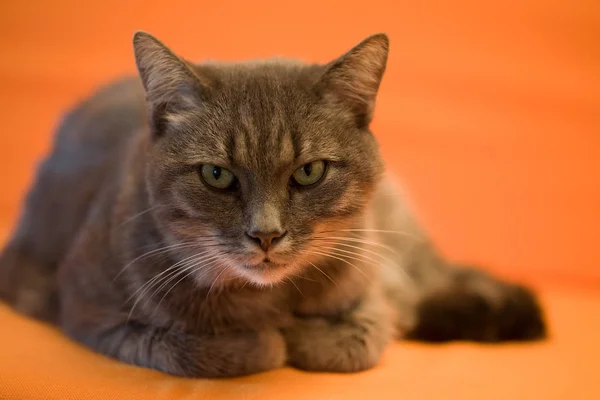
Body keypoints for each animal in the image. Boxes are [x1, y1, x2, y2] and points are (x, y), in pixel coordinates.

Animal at [0, 32, 548, 378]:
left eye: (309, 172)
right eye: (217, 175)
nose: (265, 234)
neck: (269, 300)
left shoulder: (371, 288)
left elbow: (363, 335)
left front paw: (300, 338)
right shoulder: (86, 310)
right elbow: (193, 349)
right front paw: (263, 341)